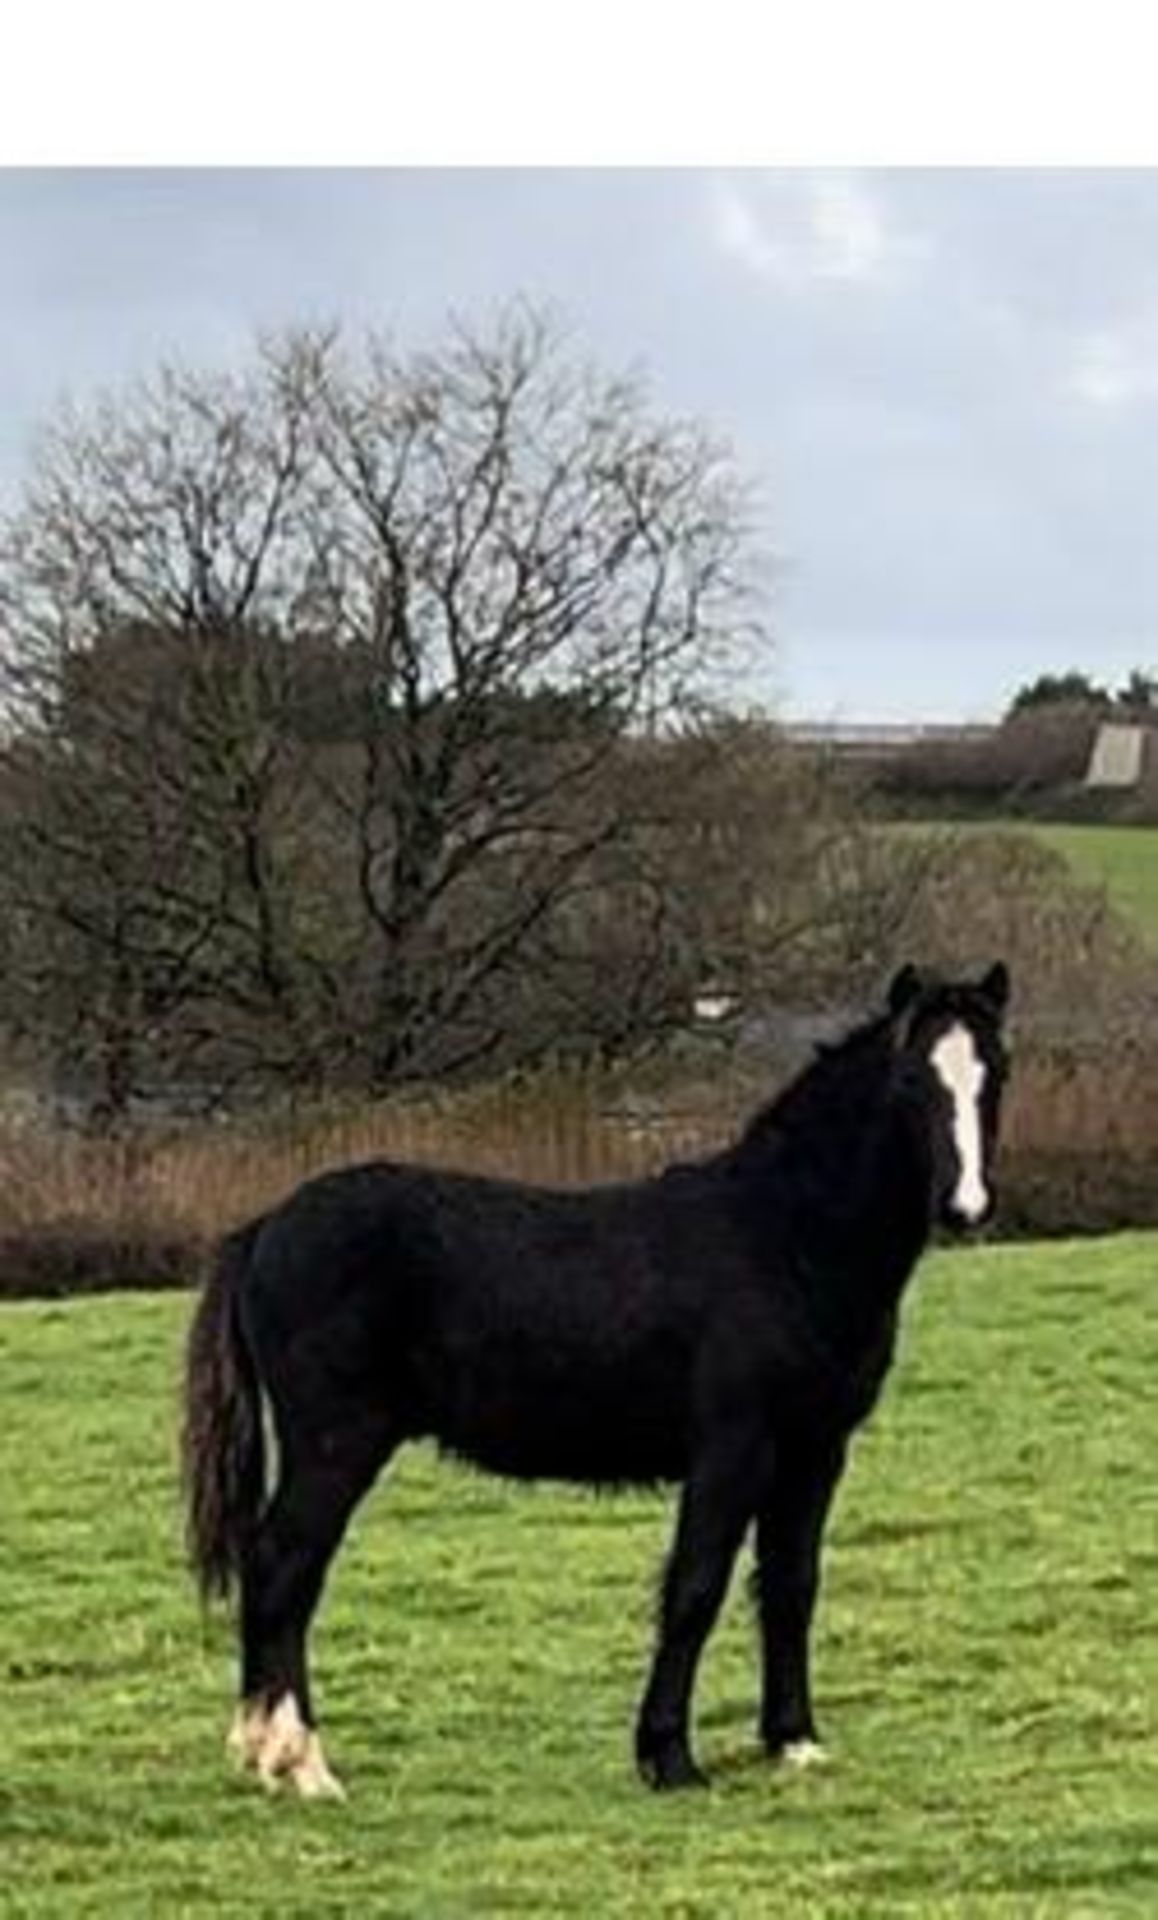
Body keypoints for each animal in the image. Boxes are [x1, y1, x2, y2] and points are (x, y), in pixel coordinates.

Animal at [182, 960, 1010, 1798]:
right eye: (911, 1081)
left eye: (995, 1072)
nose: (966, 1207)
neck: (786, 1240)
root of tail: (265, 1227)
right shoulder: (732, 1448)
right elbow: (696, 1588)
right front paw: (668, 1757)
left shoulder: (815, 1451)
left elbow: (790, 1584)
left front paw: (793, 1741)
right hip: (336, 1445)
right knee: (284, 1569)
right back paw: (302, 1763)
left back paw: (266, 1750)